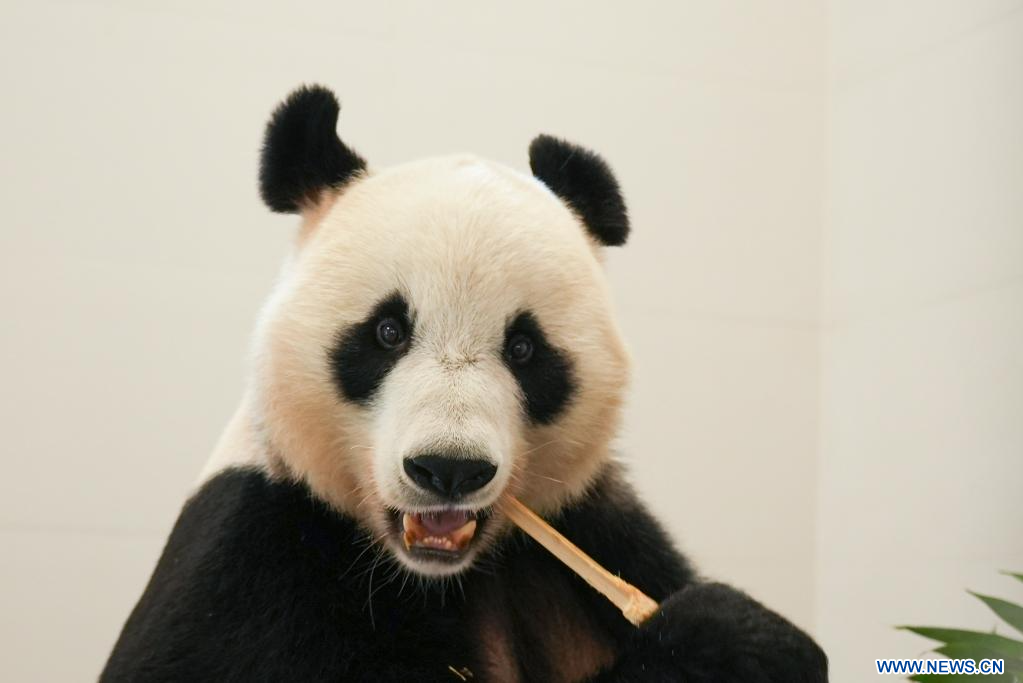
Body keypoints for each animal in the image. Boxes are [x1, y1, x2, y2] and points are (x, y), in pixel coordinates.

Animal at [102, 85, 827, 683]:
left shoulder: (590, 527)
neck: (429, 575)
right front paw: (721, 638)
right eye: (387, 332)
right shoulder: (253, 561)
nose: (448, 469)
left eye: (525, 348)